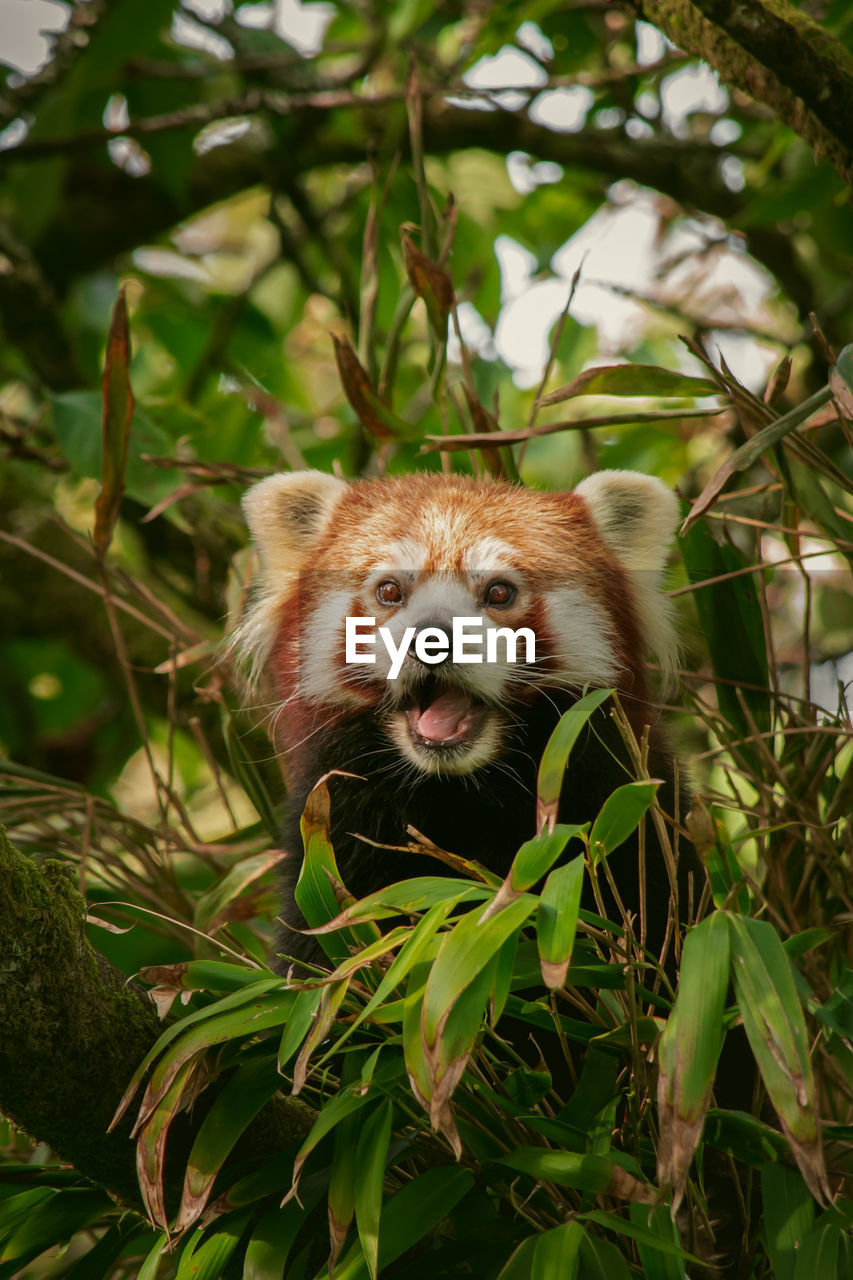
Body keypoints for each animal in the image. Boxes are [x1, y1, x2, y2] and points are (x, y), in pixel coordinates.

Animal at [233, 476, 691, 962]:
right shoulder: (334, 835)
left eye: (499, 592)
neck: (460, 790)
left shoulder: (624, 809)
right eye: (389, 590)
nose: (432, 639)